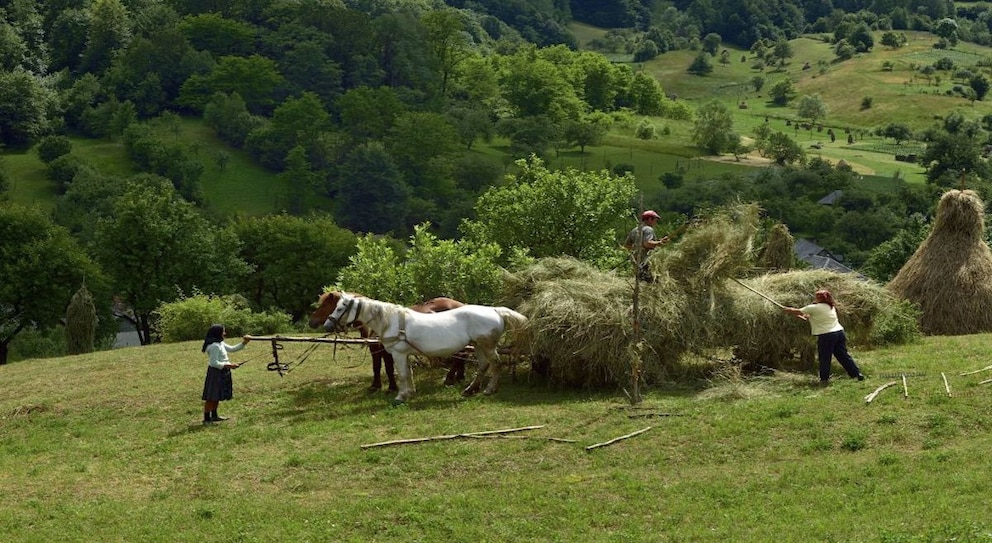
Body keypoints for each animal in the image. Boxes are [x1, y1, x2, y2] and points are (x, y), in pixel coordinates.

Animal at [308, 294, 466, 392]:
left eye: (326, 305)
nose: (311, 322)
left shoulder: (387, 351)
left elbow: (388, 368)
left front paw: (391, 387)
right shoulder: (376, 350)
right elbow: (377, 367)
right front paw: (376, 386)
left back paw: (450, 379)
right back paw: (459, 377)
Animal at [324, 294, 528, 404]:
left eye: (340, 307)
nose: (327, 325)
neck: (392, 321)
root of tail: (495, 310)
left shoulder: (398, 354)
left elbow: (403, 374)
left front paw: (400, 396)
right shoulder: (405, 354)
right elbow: (408, 373)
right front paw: (410, 392)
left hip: (487, 345)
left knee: (495, 364)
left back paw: (489, 390)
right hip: (478, 345)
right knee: (483, 366)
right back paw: (470, 390)